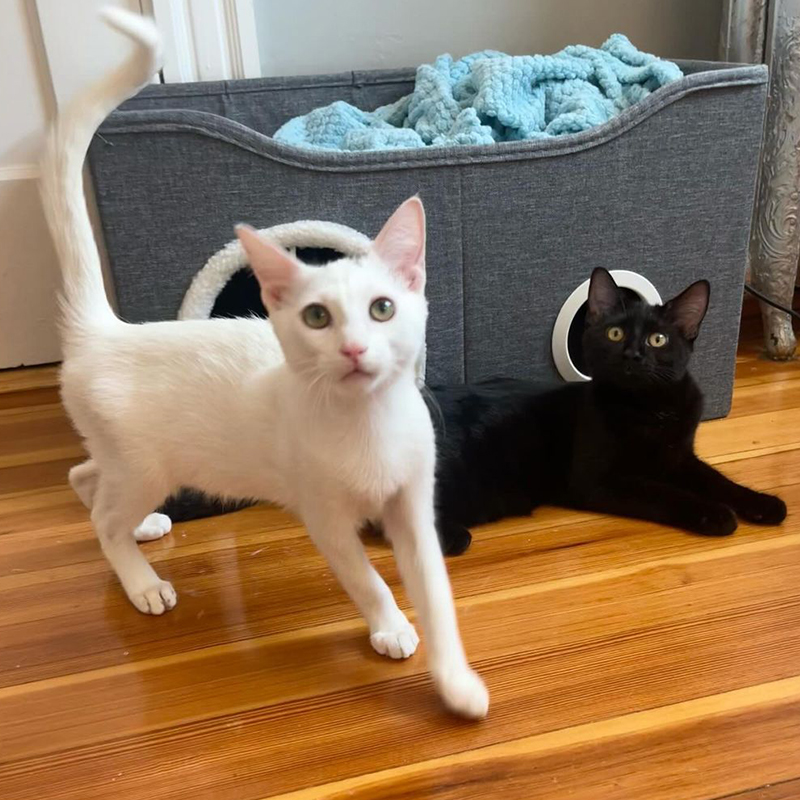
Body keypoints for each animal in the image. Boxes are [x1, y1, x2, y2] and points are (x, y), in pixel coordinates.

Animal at [39, 7, 488, 720]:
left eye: (382, 308)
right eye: (317, 318)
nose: (354, 349)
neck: (368, 426)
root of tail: (103, 332)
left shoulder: (414, 505)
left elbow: (438, 595)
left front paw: (456, 681)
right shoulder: (325, 517)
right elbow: (366, 578)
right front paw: (390, 625)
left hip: (130, 463)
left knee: (85, 479)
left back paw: (143, 528)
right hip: (145, 464)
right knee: (100, 515)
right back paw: (140, 579)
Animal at [158, 272, 788, 552]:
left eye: (658, 341)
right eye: (613, 333)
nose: (633, 355)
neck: (649, 408)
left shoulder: (680, 455)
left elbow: (716, 478)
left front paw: (762, 504)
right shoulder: (601, 480)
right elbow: (666, 494)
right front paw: (713, 516)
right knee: (385, 522)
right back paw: (448, 535)